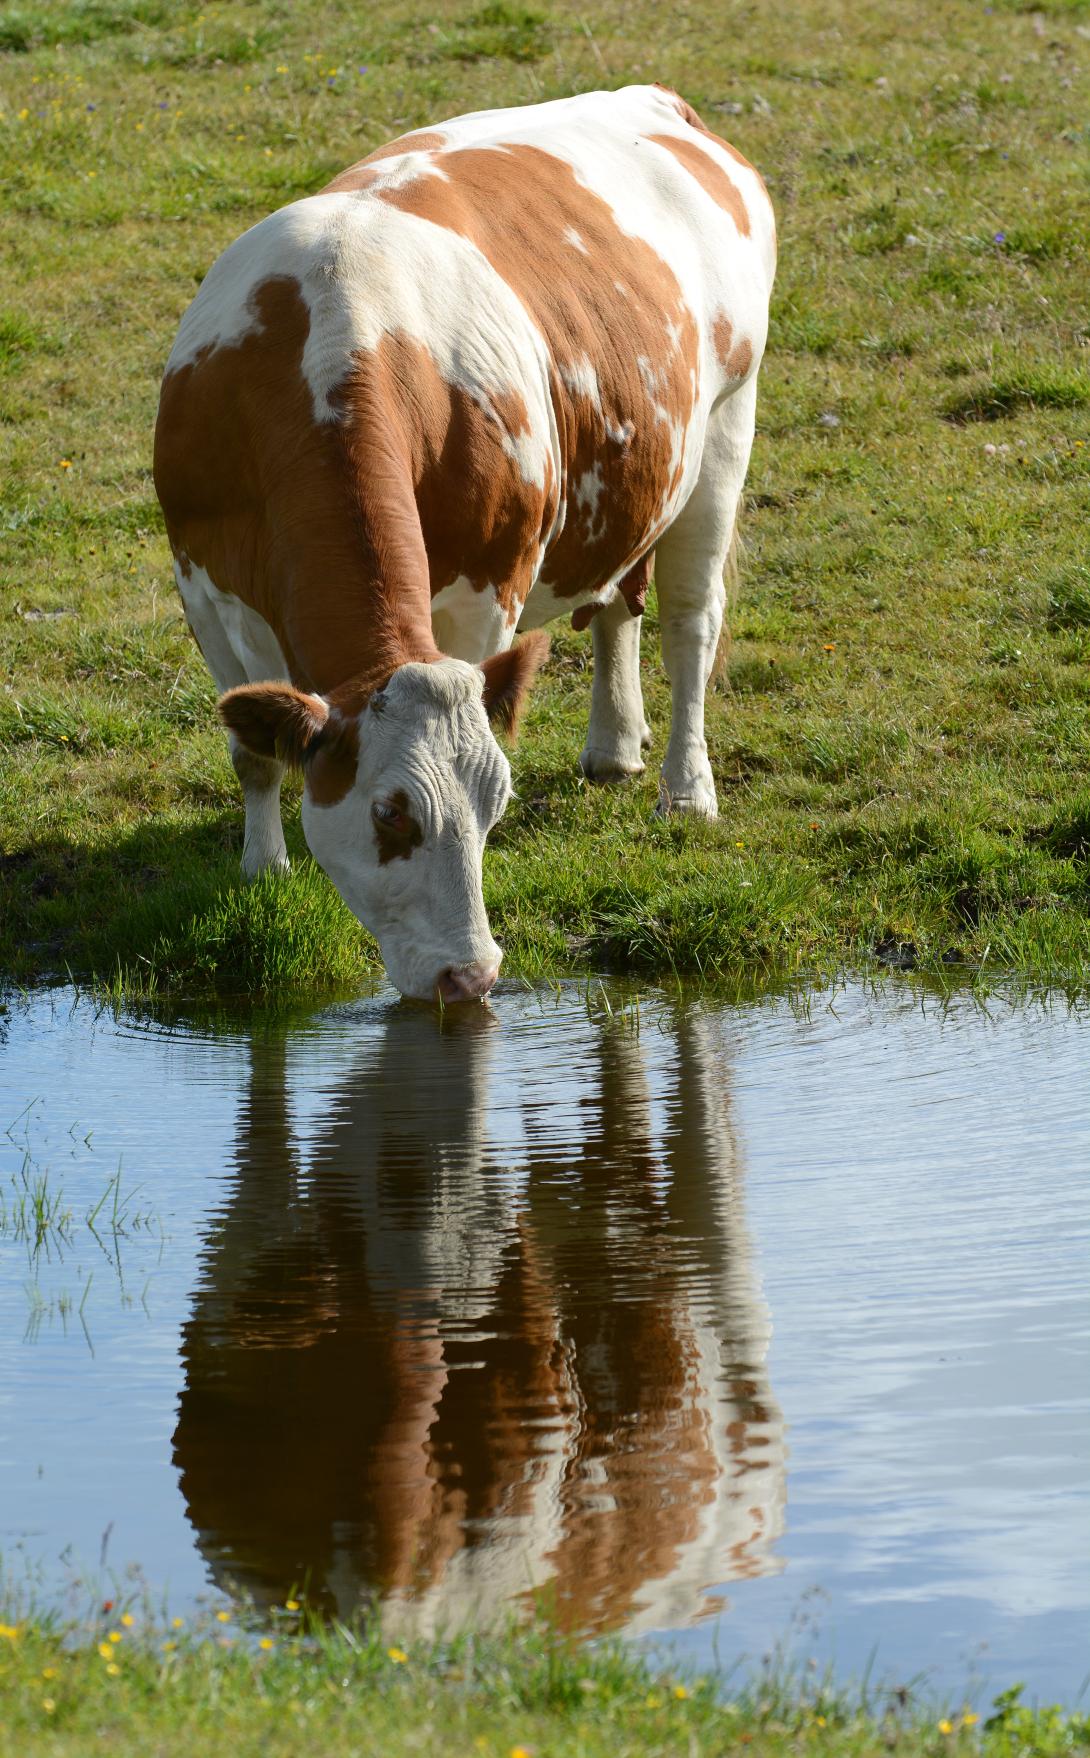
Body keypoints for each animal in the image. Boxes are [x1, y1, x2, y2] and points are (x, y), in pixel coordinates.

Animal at [152, 82, 773, 1005]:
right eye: (390, 812)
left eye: (495, 803)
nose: (470, 976)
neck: (334, 339)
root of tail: (655, 99)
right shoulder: (202, 583)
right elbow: (253, 754)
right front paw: (263, 874)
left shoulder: (488, 588)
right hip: (632, 465)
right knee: (616, 598)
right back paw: (612, 747)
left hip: (730, 420)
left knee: (690, 622)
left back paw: (687, 791)